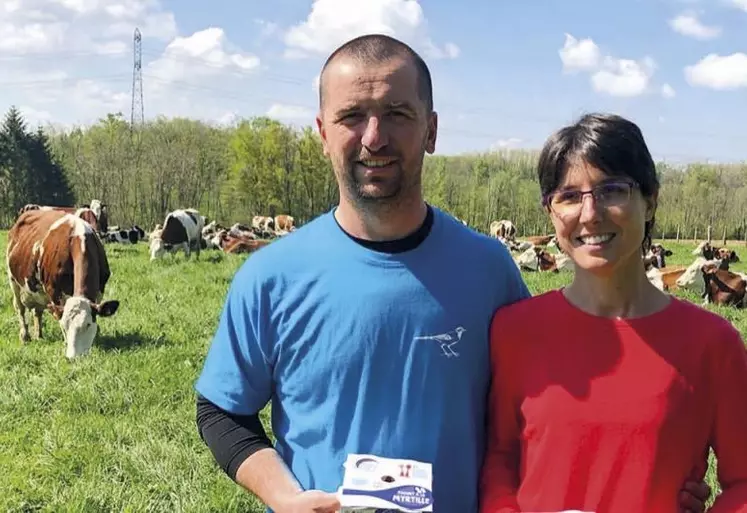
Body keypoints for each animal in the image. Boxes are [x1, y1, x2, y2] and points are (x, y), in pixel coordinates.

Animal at [5, 208, 120, 356]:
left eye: (88, 324)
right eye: (65, 326)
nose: (73, 357)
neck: (79, 237)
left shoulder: (100, 290)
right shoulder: (54, 291)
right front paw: (66, 342)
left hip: (39, 291)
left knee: (37, 311)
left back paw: (39, 335)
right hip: (13, 280)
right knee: (20, 308)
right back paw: (25, 336)